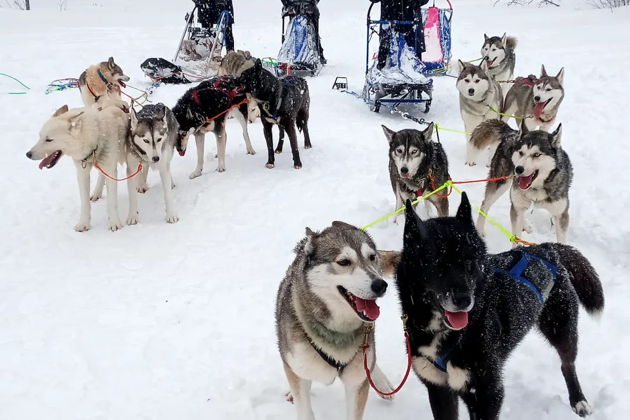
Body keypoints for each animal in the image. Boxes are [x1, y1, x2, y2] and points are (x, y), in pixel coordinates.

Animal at [398, 194, 604, 420]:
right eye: (436, 266)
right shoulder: (439, 389)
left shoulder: (487, 394)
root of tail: (548, 248)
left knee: (567, 364)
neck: (449, 334)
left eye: (469, 264)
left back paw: (578, 400)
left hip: (562, 330)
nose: (464, 300)